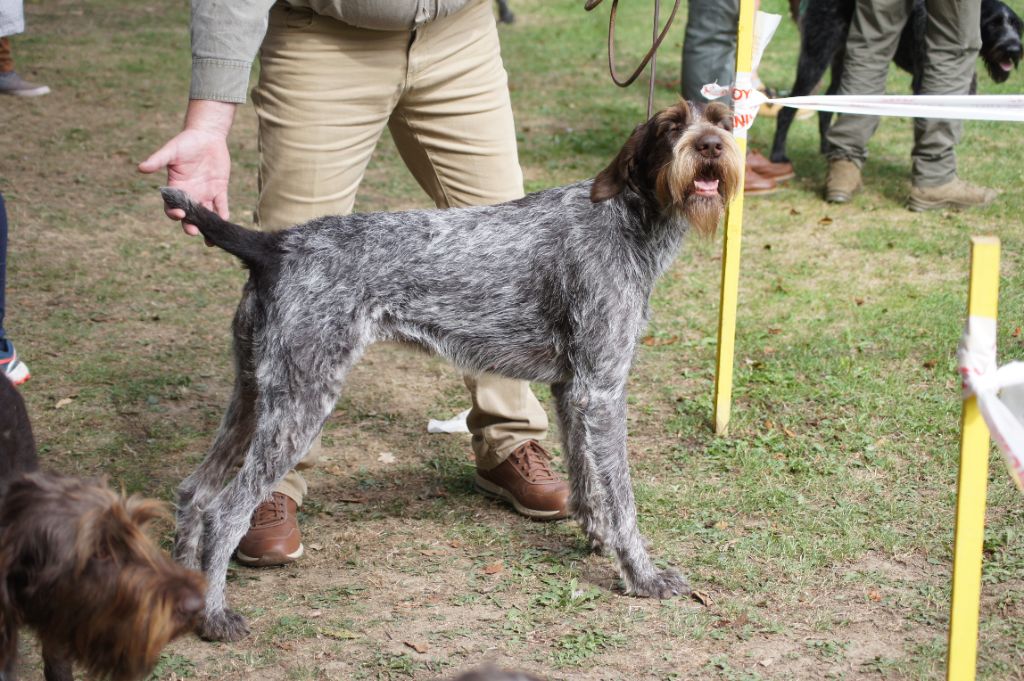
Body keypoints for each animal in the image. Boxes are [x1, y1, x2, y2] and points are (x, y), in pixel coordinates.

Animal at [159, 98, 741, 639]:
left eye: (721, 119)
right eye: (671, 125)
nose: (711, 145)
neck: (625, 217)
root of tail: (273, 244)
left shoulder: (572, 389)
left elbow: (586, 480)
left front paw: (597, 540)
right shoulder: (602, 390)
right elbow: (621, 497)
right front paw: (641, 575)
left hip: (253, 395)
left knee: (194, 492)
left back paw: (189, 597)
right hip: (301, 399)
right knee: (225, 510)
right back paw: (216, 616)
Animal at [770, 0, 1019, 161]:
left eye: (1016, 25)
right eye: (993, 23)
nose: (1014, 49)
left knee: (826, 110)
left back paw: (827, 149)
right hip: (816, 58)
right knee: (786, 111)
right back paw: (778, 155)